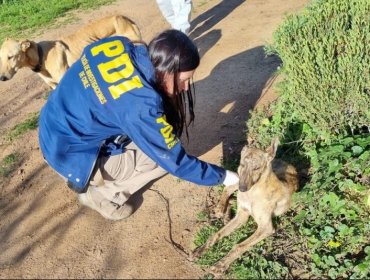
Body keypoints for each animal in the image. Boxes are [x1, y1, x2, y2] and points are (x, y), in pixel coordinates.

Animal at [192, 138, 300, 276]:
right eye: (242, 164)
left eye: (257, 168)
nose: (243, 189)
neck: (253, 192)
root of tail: (283, 160)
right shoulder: (241, 214)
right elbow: (217, 234)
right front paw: (201, 249)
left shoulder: (265, 227)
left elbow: (239, 246)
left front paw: (221, 264)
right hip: (238, 179)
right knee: (229, 188)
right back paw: (220, 208)